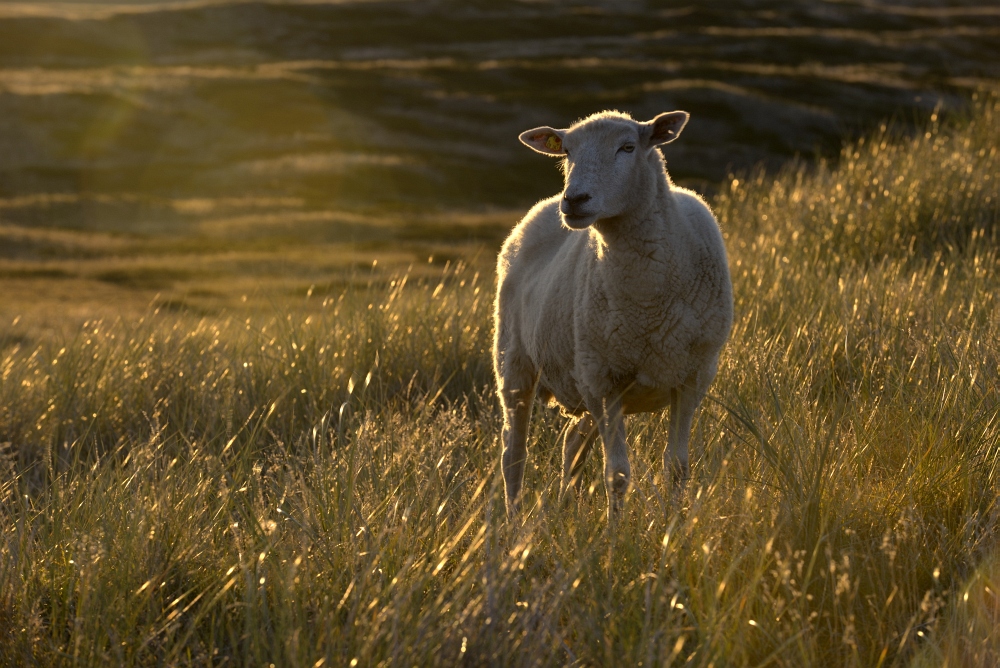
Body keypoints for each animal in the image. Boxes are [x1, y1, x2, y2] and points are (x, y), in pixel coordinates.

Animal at [494, 109, 736, 520]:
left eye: (627, 147)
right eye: (567, 151)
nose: (574, 200)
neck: (648, 302)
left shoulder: (692, 378)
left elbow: (677, 466)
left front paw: (673, 528)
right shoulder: (604, 382)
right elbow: (618, 475)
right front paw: (614, 535)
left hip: (583, 379)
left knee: (572, 441)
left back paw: (567, 509)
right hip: (517, 364)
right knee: (514, 454)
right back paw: (513, 523)